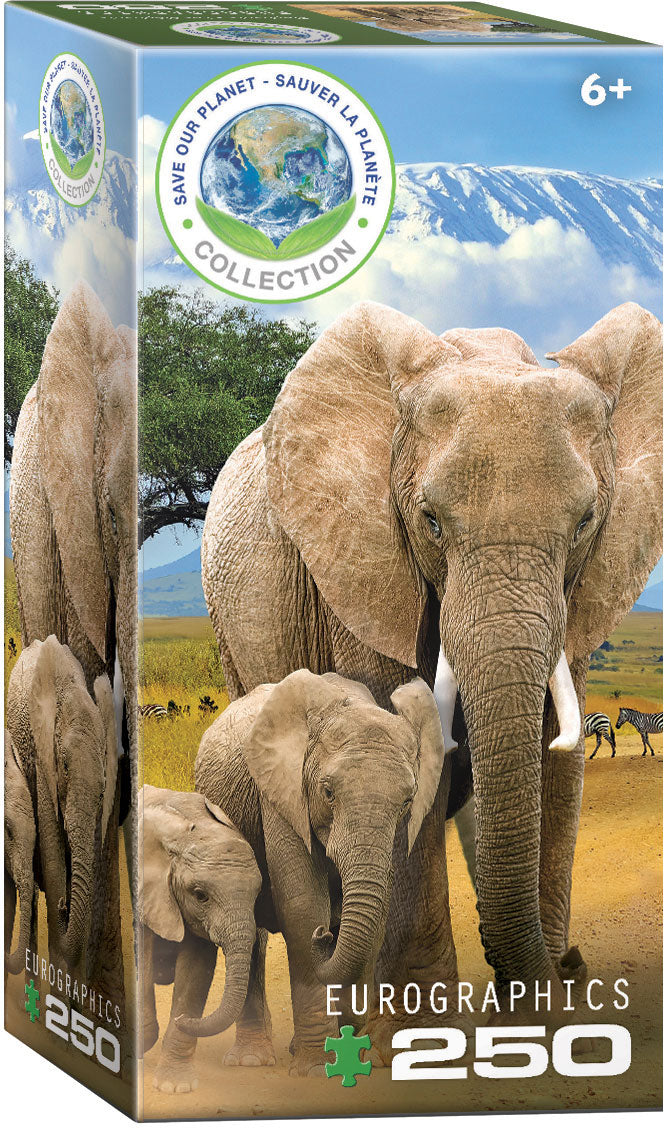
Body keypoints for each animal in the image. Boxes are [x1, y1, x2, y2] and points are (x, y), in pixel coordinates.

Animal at [187, 668, 449, 1075]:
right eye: (328, 793)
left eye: (408, 800)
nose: (325, 936)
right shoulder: (280, 791)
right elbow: (302, 904)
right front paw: (314, 1068)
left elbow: (378, 913)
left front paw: (353, 1057)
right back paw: (251, 1059)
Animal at [202, 299, 662, 1048]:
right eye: (431, 522)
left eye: (585, 522)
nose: (571, 963)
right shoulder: (365, 566)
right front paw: (417, 1027)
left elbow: (556, 762)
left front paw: (540, 1027)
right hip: (232, 634)